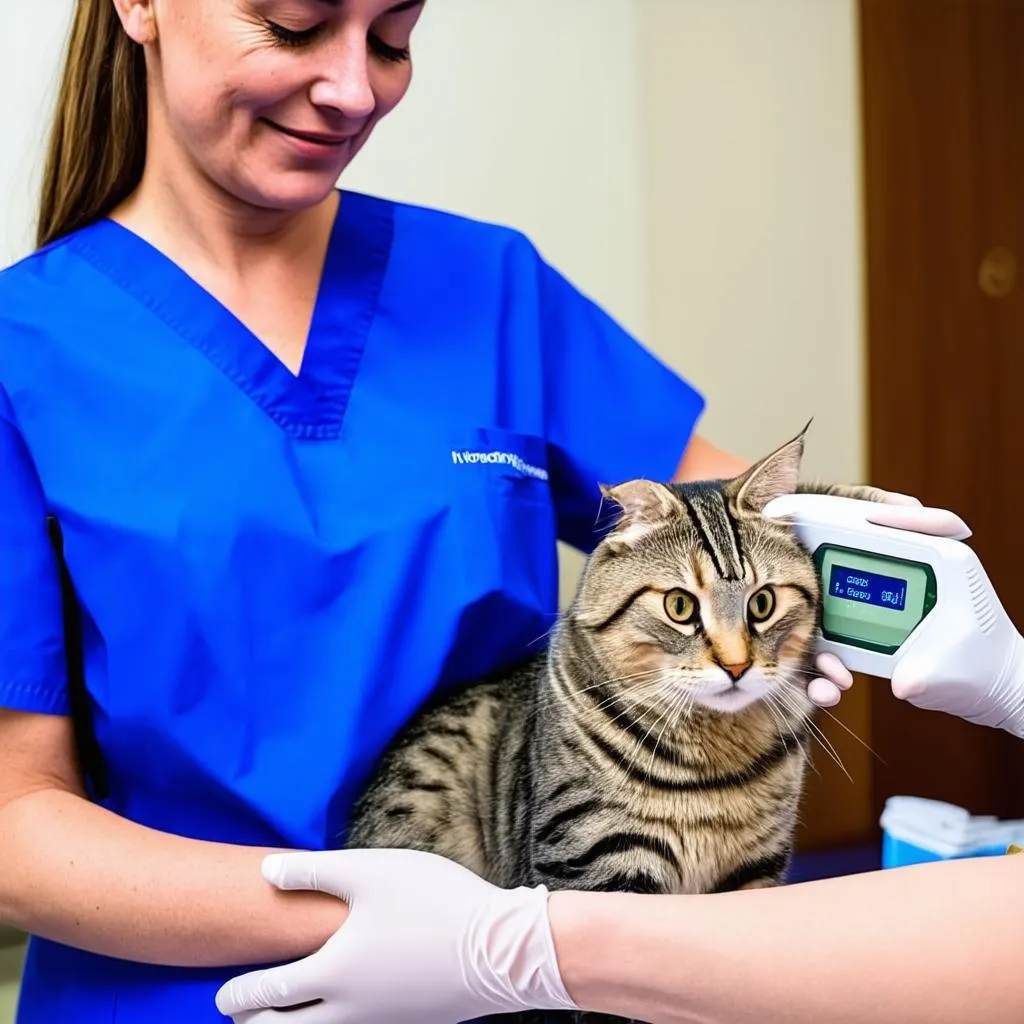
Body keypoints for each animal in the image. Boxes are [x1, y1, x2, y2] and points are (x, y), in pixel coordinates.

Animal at [348, 425, 884, 1024]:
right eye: (680, 607)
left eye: (762, 603)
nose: (736, 665)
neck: (713, 767)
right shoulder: (598, 869)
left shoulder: (752, 873)